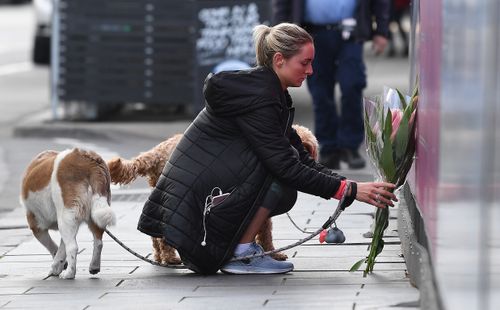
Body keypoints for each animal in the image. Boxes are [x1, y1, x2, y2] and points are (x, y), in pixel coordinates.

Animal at [20, 148, 115, 278]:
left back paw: (69, 273)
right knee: (98, 242)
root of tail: (88, 159)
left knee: (73, 247)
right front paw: (58, 265)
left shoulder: (36, 226)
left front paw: (59, 265)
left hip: (65, 216)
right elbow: (61, 246)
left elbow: (52, 246)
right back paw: (94, 266)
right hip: (94, 211)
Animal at [107, 124, 318, 266]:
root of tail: (155, 152)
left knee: (156, 235)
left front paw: (272, 254)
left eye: (309, 147)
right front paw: (270, 254)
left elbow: (265, 232)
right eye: (301, 145)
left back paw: (160, 256)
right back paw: (170, 257)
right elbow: (265, 233)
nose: (305, 158)